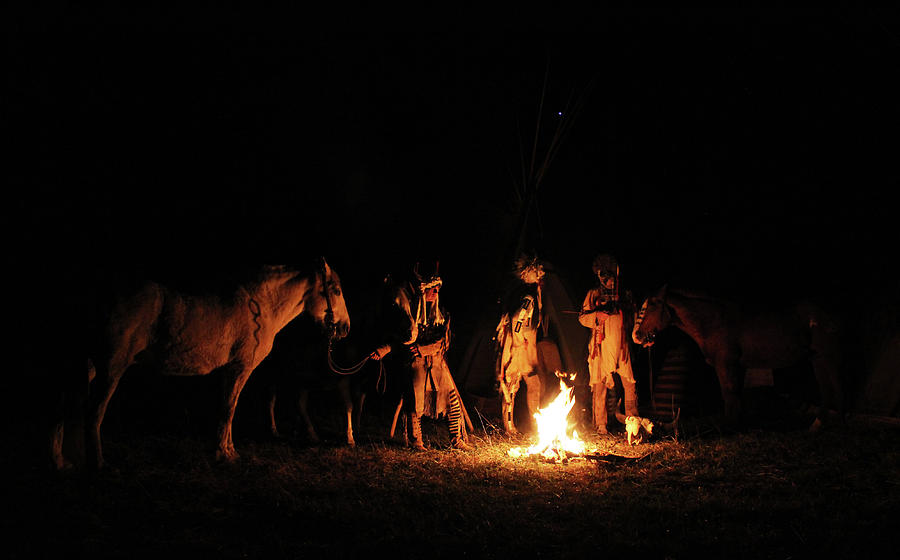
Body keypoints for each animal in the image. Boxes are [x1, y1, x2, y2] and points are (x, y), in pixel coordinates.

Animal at [51, 260, 350, 470]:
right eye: (336, 290)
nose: (346, 327)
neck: (260, 305)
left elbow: (226, 410)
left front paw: (227, 450)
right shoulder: (238, 369)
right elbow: (228, 410)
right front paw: (224, 454)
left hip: (88, 367)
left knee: (63, 411)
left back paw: (59, 462)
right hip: (111, 369)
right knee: (93, 414)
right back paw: (99, 465)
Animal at [632, 286, 844, 430]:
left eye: (649, 308)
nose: (636, 336)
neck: (714, 321)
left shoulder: (726, 365)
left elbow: (729, 394)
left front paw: (730, 427)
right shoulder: (736, 367)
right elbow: (735, 395)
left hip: (829, 356)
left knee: (835, 384)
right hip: (817, 358)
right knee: (826, 388)